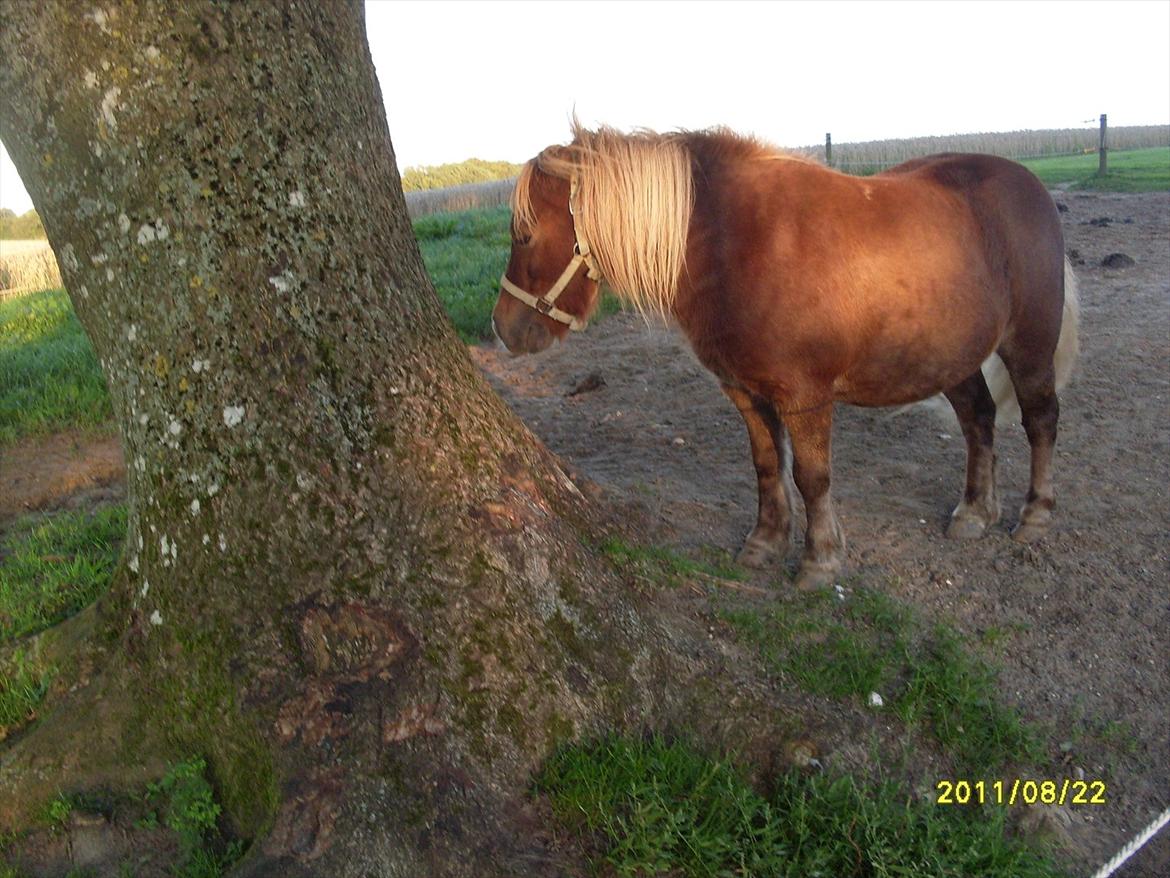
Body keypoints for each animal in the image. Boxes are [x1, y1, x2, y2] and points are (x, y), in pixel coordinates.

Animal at [491, 124, 1076, 587]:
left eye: (525, 234)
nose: (504, 329)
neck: (739, 243)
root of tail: (1029, 185)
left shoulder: (804, 397)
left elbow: (811, 477)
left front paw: (820, 560)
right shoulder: (745, 392)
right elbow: (767, 466)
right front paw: (764, 543)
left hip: (1027, 344)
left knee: (1041, 418)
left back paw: (1035, 514)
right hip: (949, 357)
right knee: (979, 420)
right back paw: (975, 512)